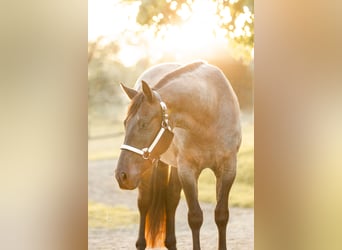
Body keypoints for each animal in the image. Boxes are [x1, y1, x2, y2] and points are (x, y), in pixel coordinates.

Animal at [115, 61, 240, 250]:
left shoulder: (228, 169)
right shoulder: (187, 171)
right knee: (144, 203)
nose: (121, 175)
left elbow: (221, 215)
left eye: (143, 124)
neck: (210, 111)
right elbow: (195, 217)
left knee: (171, 199)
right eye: (124, 123)